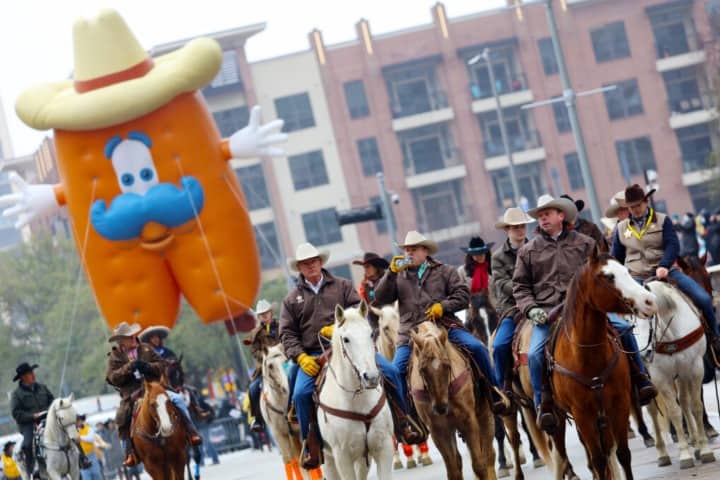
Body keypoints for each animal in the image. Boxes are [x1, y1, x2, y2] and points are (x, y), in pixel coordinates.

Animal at [316, 302, 390, 478]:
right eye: (346, 339)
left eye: (371, 334)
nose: (371, 377)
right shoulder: (342, 458)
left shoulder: (384, 446)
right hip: (328, 461)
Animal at [408, 320, 498, 480]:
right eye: (422, 370)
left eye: (447, 365)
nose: (440, 408)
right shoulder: (439, 430)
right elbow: (454, 469)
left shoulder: (468, 421)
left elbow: (479, 464)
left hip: (485, 415)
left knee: (489, 455)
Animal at [636, 282, 716, 468]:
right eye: (629, 322)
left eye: (649, 316)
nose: (644, 354)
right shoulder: (660, 377)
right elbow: (674, 412)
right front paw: (685, 455)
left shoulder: (694, 369)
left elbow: (695, 406)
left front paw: (704, 449)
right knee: (653, 411)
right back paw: (662, 453)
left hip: (682, 375)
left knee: (685, 402)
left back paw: (695, 443)